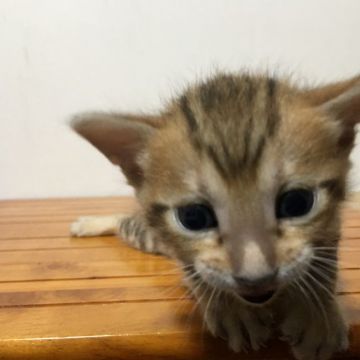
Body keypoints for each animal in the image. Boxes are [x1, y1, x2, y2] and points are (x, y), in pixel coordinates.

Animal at [70, 73, 360, 360]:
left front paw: (317, 315)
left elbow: (324, 261)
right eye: (193, 218)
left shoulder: (332, 226)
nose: (256, 279)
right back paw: (88, 224)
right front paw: (232, 310)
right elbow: (198, 270)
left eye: (297, 203)